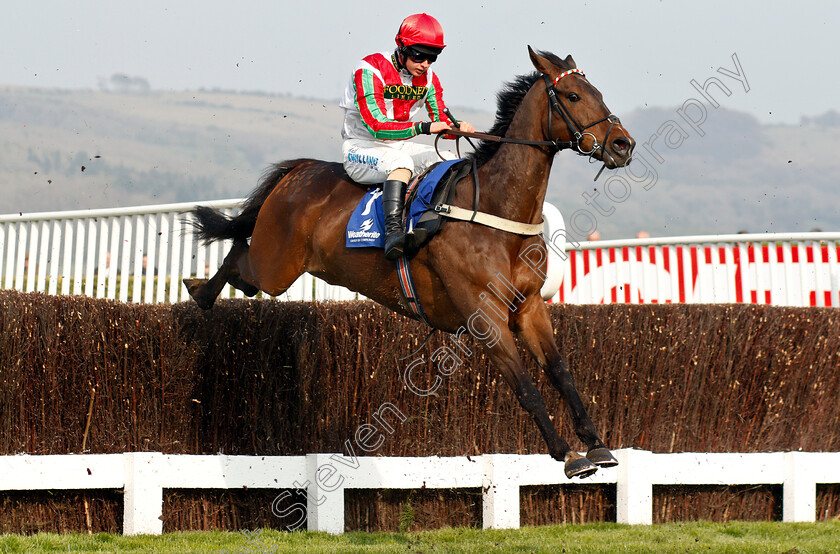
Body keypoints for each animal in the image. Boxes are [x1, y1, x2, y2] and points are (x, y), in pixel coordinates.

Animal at [182, 47, 632, 476]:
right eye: (572, 96)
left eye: (598, 93)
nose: (622, 144)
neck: (496, 210)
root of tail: (298, 171)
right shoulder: (484, 315)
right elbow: (524, 384)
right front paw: (567, 453)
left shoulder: (529, 306)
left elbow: (561, 372)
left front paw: (596, 444)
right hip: (276, 265)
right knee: (240, 256)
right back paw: (198, 290)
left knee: (243, 267)